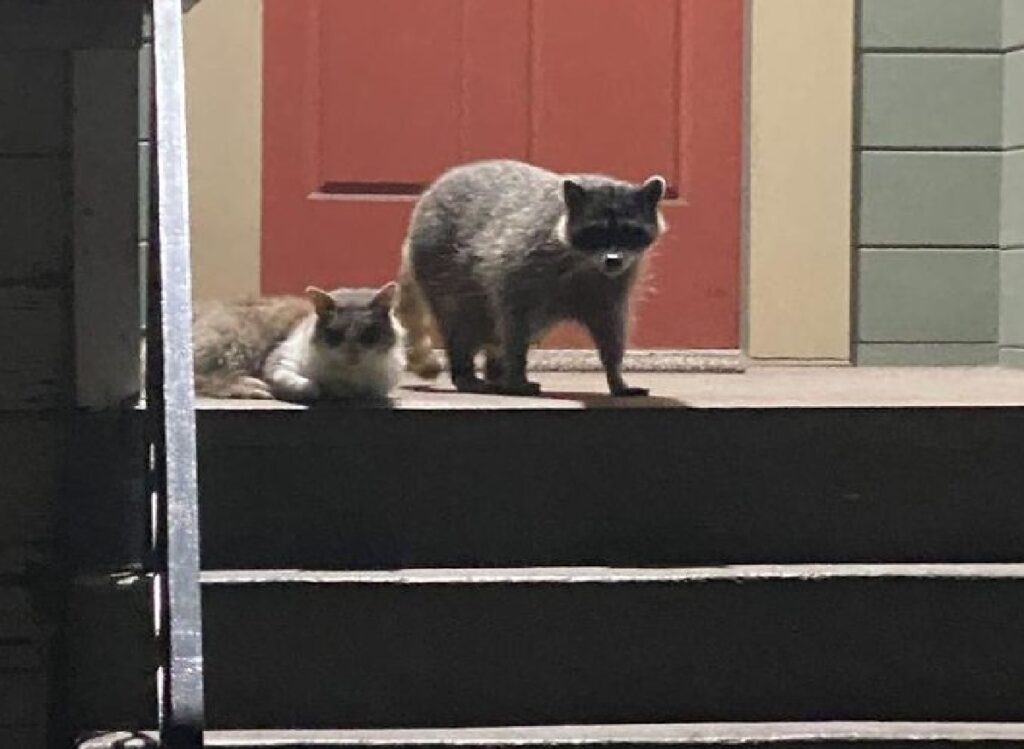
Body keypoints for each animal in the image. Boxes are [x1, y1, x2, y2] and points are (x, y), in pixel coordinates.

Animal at [192, 284, 403, 403]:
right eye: (335, 335)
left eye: (369, 335)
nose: (352, 355)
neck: (348, 377)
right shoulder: (281, 359)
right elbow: (305, 385)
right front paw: (315, 389)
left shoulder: (374, 388)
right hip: (235, 343)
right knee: (205, 379)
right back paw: (254, 388)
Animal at [395, 158, 667, 397]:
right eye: (595, 232)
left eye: (629, 232)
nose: (613, 259)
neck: (586, 264)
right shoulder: (521, 263)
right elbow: (513, 324)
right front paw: (516, 372)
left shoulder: (612, 286)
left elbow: (612, 328)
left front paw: (615, 374)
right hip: (440, 264)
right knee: (462, 323)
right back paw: (468, 372)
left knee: (498, 332)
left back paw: (495, 373)